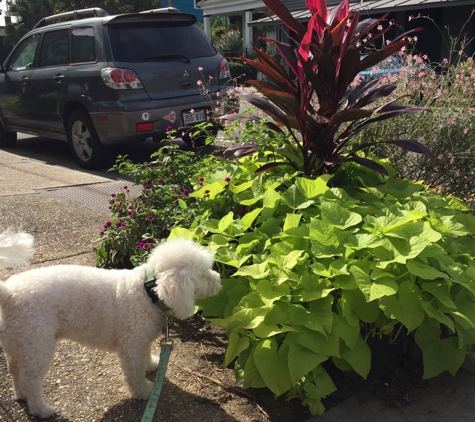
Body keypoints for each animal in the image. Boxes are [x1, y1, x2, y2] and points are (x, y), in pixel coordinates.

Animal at [0, 231, 222, 418]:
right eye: (202, 274)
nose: (220, 279)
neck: (147, 292)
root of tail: (9, 295)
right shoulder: (130, 348)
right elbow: (134, 373)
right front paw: (144, 391)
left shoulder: (141, 340)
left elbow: (145, 356)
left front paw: (151, 365)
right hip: (37, 345)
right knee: (30, 381)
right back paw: (42, 409)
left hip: (18, 344)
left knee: (15, 371)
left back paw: (21, 396)